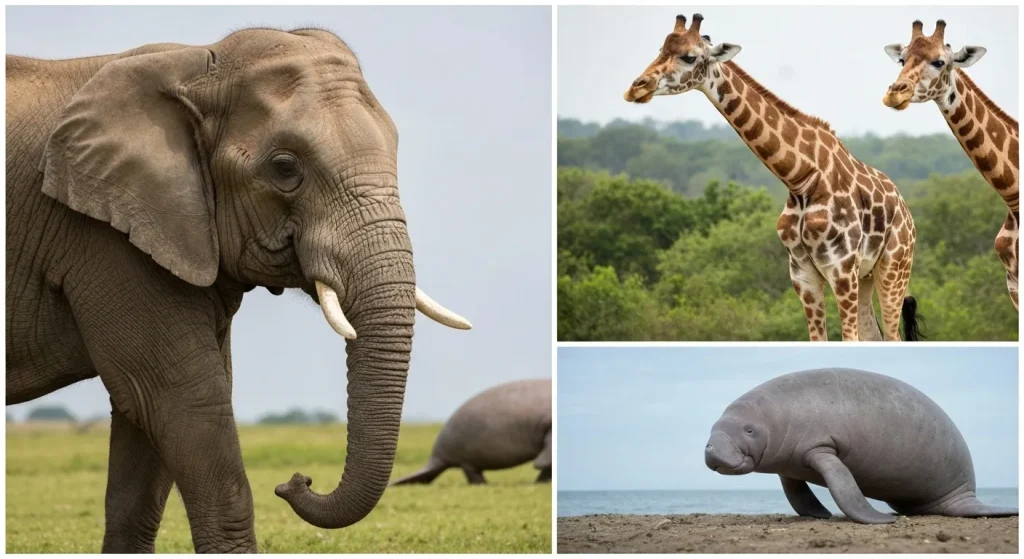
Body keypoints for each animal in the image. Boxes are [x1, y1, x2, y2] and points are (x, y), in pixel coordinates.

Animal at [6, 28, 473, 553]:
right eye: (285, 168)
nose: (295, 481)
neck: (197, 65)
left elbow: (144, 420)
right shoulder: (105, 237)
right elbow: (181, 399)